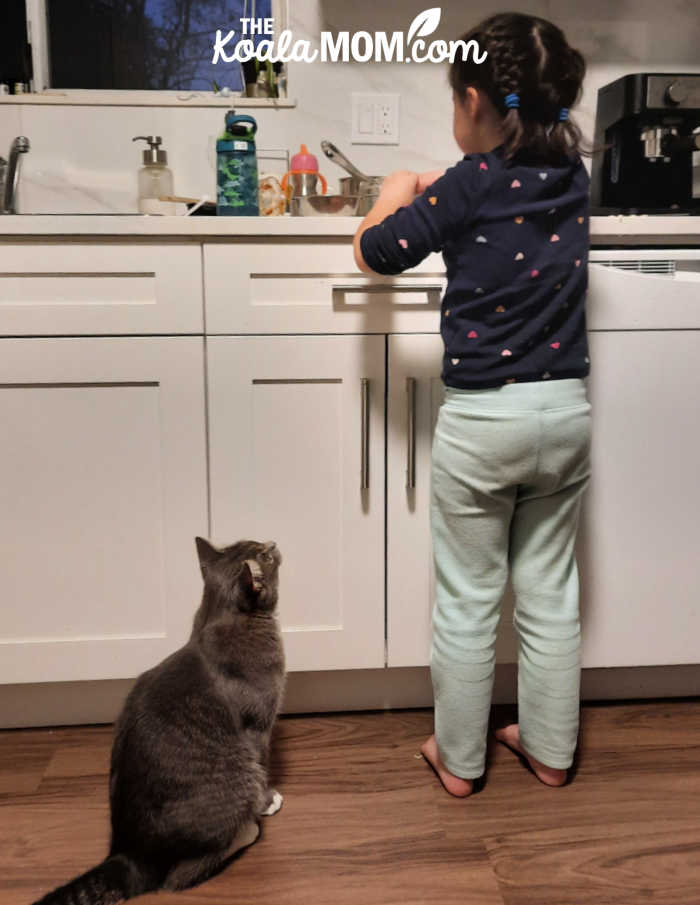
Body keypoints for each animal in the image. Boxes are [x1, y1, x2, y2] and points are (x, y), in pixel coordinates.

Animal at [32, 536, 284, 904]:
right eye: (264, 555)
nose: (274, 543)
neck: (219, 615)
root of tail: (129, 853)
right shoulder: (259, 728)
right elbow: (263, 767)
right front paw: (268, 801)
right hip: (236, 777)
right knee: (179, 877)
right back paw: (248, 829)